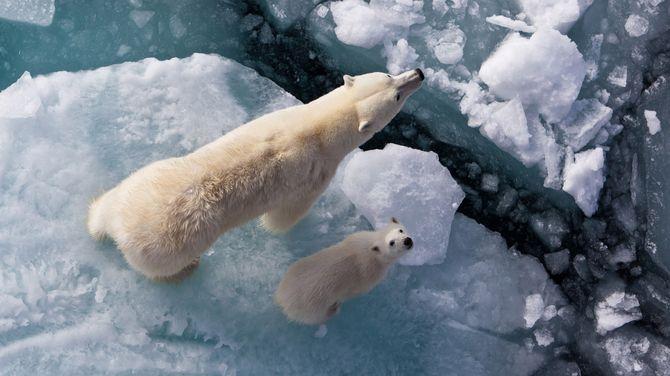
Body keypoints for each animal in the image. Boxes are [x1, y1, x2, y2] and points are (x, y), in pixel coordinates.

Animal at [88, 68, 426, 280]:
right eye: (395, 94)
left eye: (388, 76)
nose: (419, 73)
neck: (316, 128)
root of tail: (121, 227)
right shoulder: (315, 174)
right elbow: (284, 216)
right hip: (169, 246)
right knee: (164, 266)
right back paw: (188, 269)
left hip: (144, 178)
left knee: (106, 202)